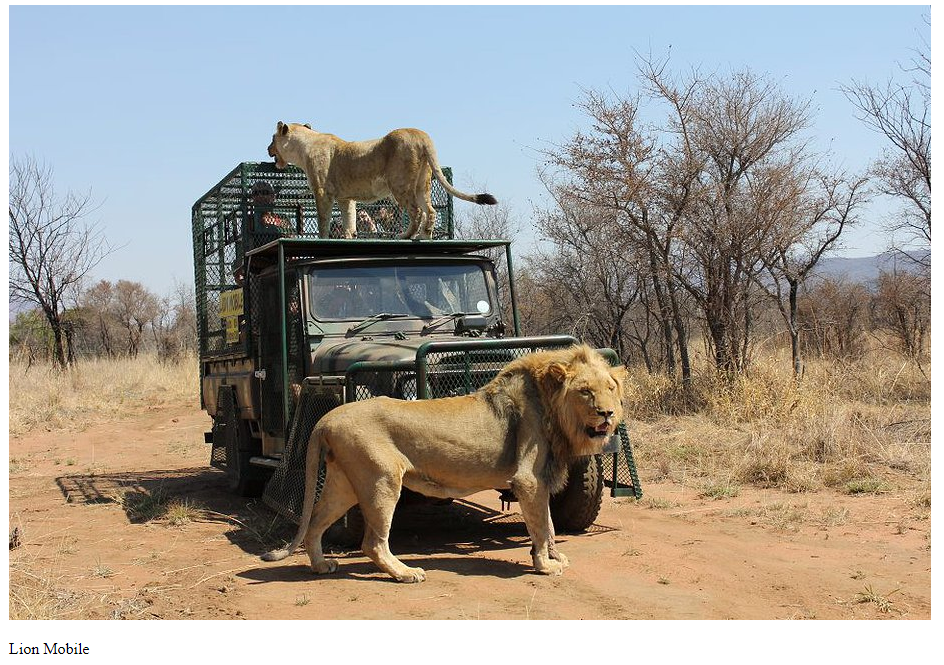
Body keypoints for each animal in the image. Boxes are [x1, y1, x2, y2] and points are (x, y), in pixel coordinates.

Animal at [262, 342, 628, 580]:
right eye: (585, 391)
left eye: (610, 388)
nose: (607, 414)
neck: (553, 408)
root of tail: (328, 417)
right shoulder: (529, 479)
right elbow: (540, 525)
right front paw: (545, 566)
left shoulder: (538, 480)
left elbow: (549, 525)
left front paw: (555, 555)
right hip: (382, 480)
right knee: (372, 543)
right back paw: (405, 573)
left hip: (344, 484)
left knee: (314, 523)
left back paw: (321, 566)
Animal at [266, 122, 498, 241]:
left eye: (272, 139)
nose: (268, 148)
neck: (304, 146)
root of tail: (421, 135)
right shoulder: (346, 198)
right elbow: (349, 220)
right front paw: (349, 237)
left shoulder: (323, 192)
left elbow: (323, 220)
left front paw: (324, 239)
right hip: (422, 184)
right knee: (430, 211)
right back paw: (424, 236)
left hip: (400, 184)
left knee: (416, 211)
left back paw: (405, 235)